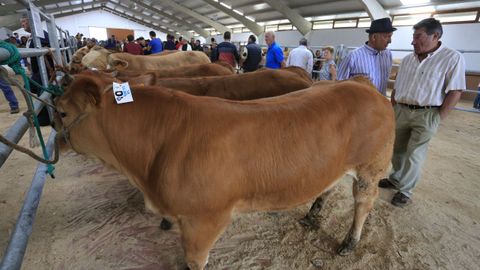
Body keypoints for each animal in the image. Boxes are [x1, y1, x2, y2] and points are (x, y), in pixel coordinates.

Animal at [55, 74, 394, 270]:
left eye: (61, 112)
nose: (55, 144)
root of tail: (362, 85)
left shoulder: (204, 220)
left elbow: (194, 262)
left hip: (371, 167)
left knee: (363, 203)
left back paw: (349, 243)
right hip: (334, 164)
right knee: (328, 185)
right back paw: (312, 216)